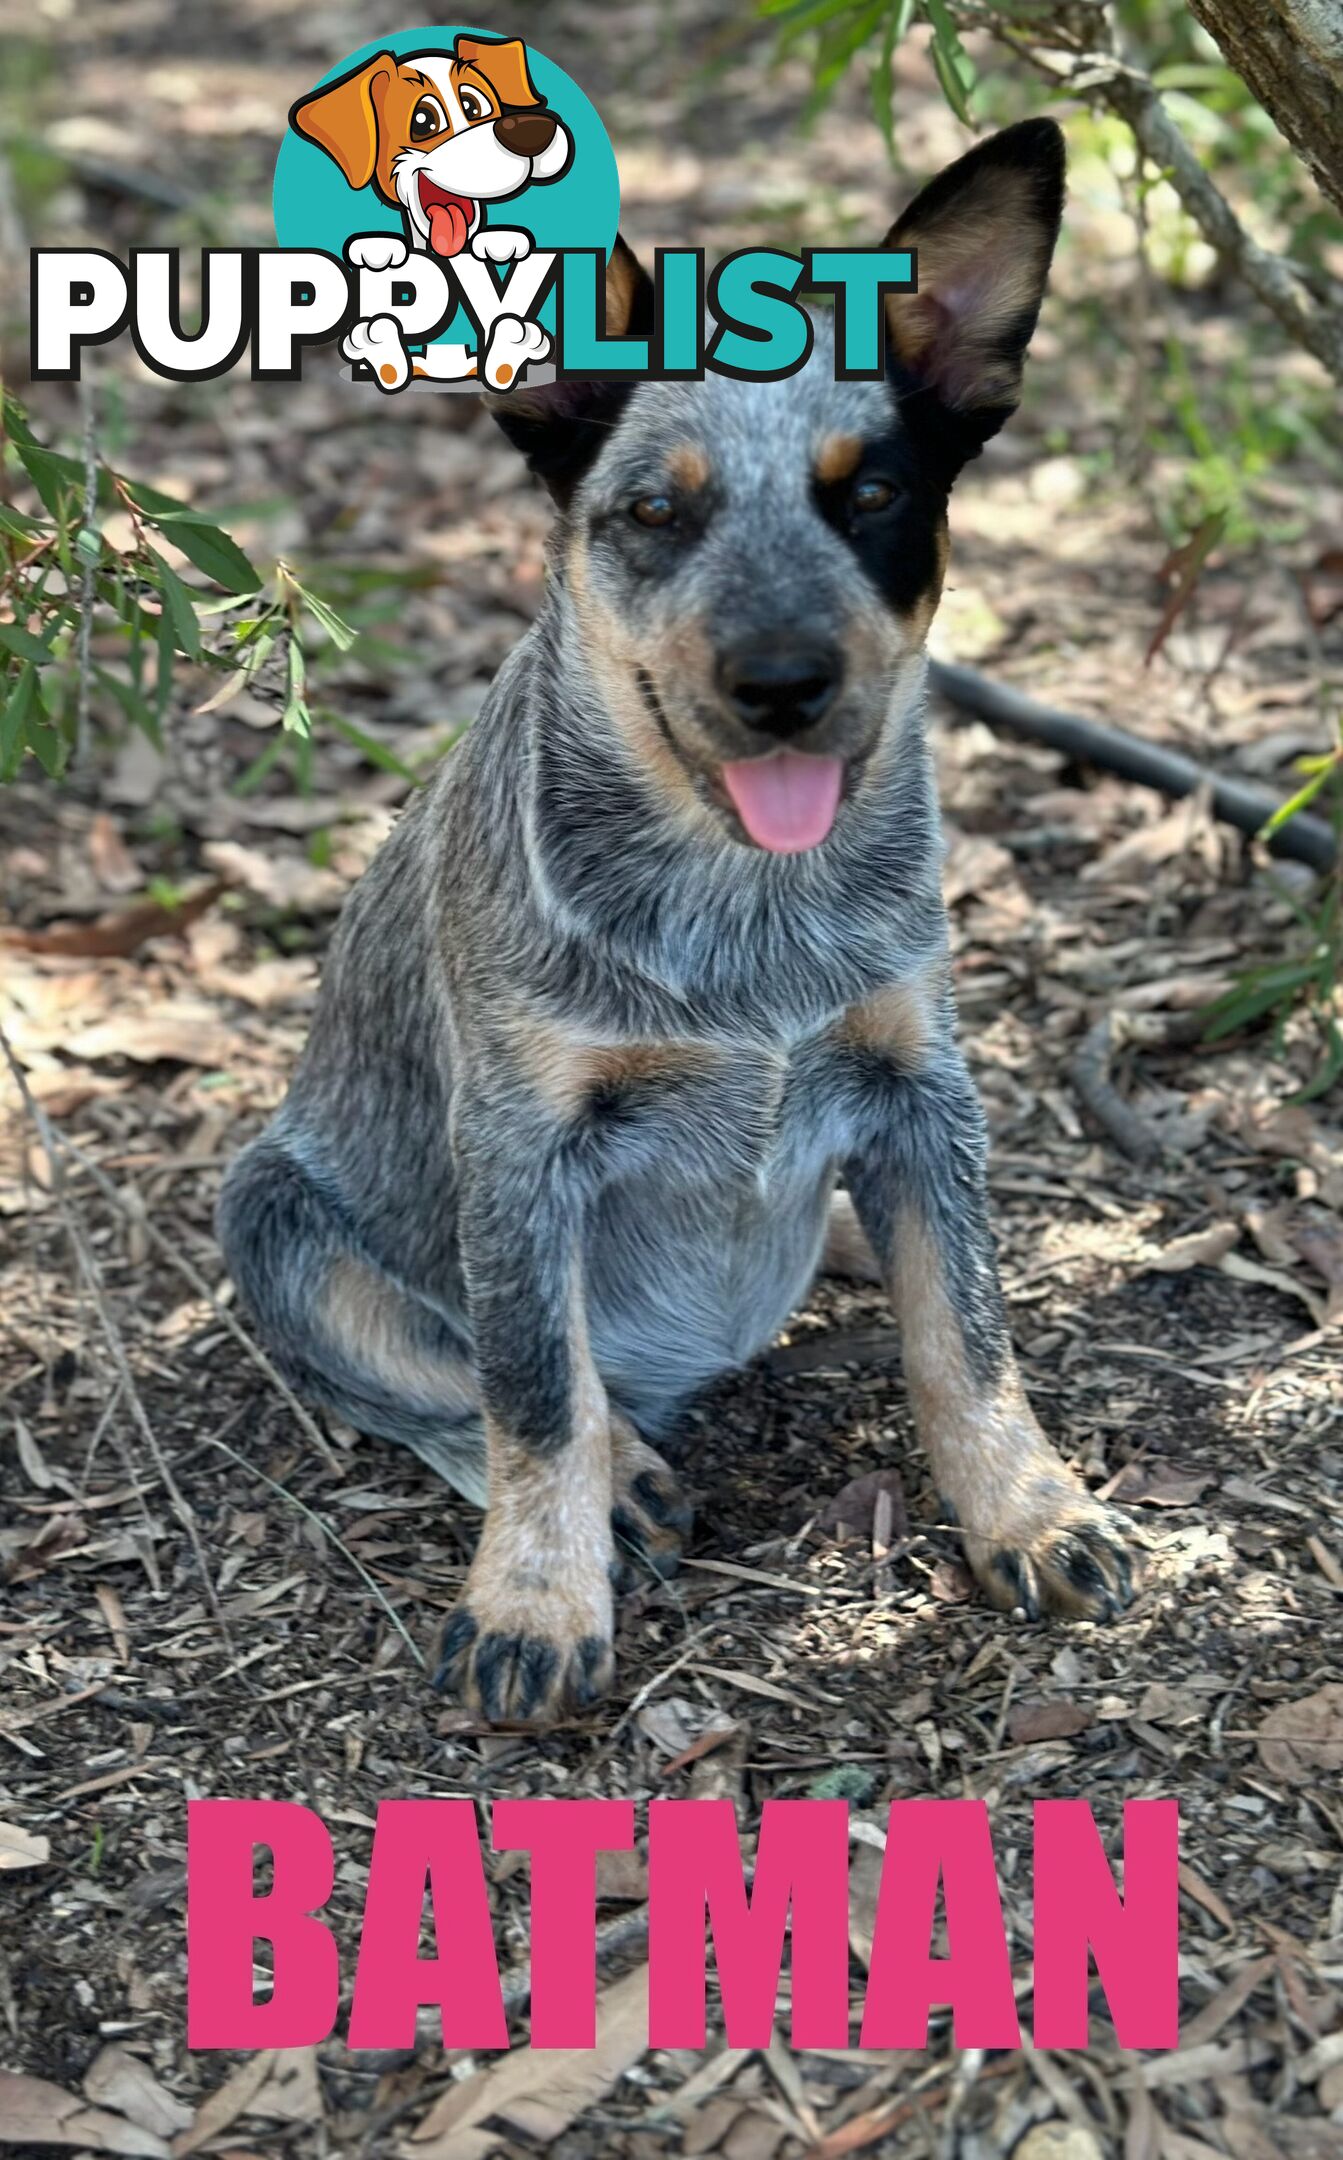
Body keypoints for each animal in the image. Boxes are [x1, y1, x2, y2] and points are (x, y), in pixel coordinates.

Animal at [218, 126, 1140, 1728]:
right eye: (655, 510)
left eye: (871, 496)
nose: (780, 680)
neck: (745, 909)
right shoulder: (520, 1146)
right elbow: (532, 1395)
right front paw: (536, 1598)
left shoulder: (919, 1087)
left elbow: (964, 1332)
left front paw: (1027, 1510)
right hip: (269, 1216)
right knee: (439, 1385)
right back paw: (623, 1477)